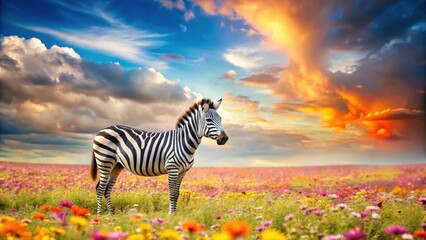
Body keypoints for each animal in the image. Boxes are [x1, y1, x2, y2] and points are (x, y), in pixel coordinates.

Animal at [90, 98, 230, 215]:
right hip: (105, 161)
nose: (224, 138)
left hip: (116, 165)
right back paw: (100, 215)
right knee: (100, 188)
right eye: (209, 120)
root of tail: (101, 130)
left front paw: (174, 214)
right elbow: (172, 193)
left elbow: (177, 193)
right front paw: (171, 214)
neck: (183, 142)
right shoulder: (172, 169)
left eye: (221, 119)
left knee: (107, 189)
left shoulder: (182, 172)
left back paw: (111, 214)